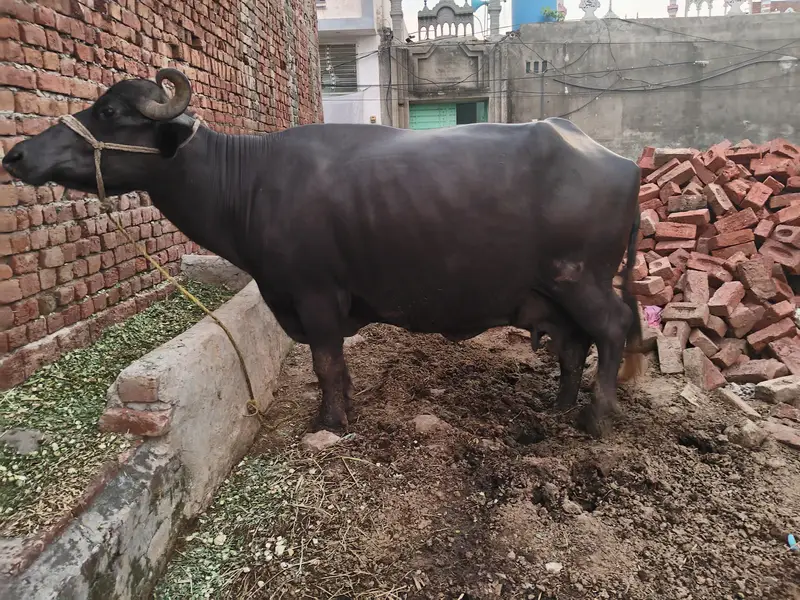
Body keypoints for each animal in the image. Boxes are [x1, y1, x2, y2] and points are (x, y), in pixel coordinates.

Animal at [3, 69, 643, 437]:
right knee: (573, 344)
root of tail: (621, 163)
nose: (17, 155)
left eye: (110, 113)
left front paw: (331, 422)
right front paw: (343, 409)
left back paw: (595, 418)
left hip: (582, 279)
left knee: (611, 330)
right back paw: (559, 408)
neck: (248, 183)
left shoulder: (314, 296)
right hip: (555, 292)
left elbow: (325, 363)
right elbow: (335, 367)